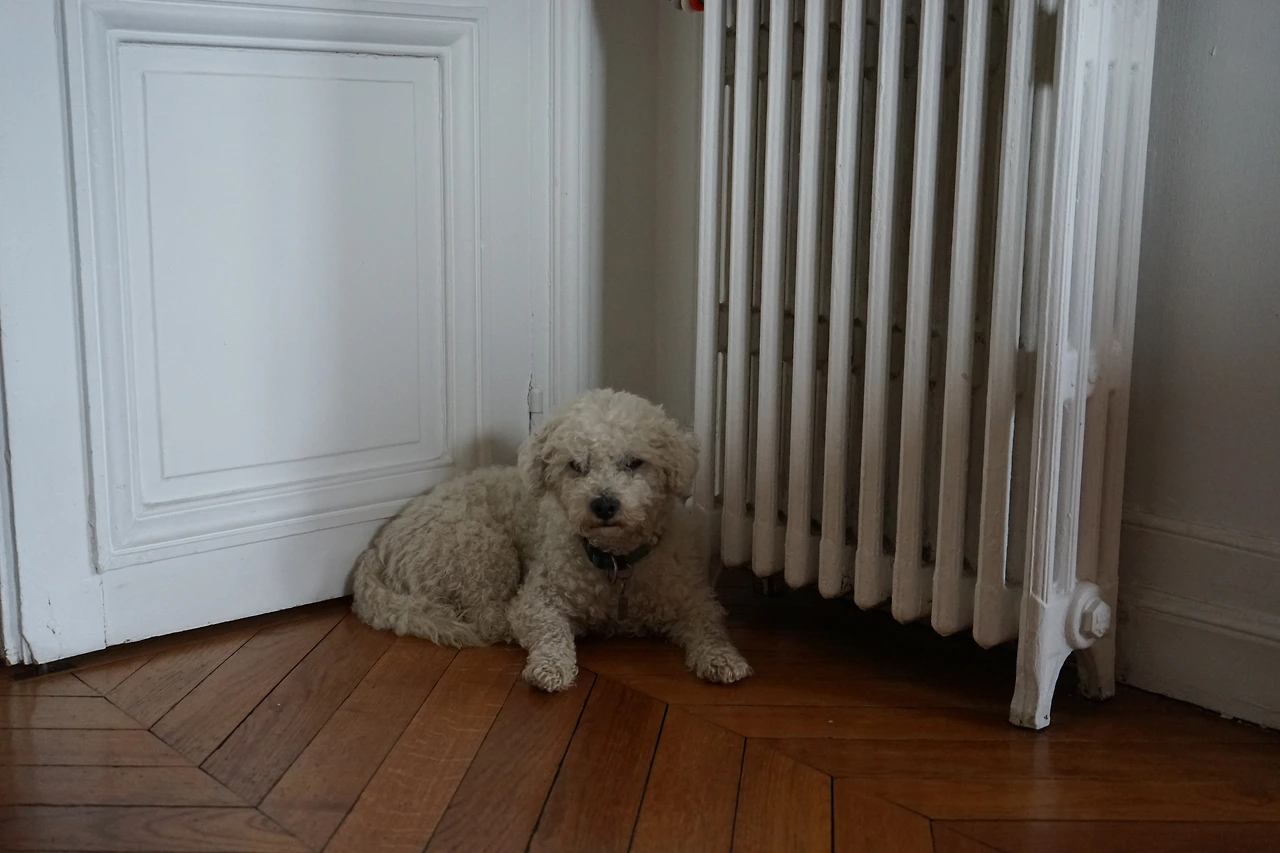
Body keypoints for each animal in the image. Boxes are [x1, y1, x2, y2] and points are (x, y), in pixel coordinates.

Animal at [351, 389, 751, 692]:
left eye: (634, 462)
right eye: (576, 466)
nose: (603, 504)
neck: (616, 563)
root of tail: (377, 548)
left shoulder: (696, 601)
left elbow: (710, 629)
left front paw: (724, 659)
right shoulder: (538, 600)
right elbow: (551, 631)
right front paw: (551, 667)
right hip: (483, 548)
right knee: (489, 616)